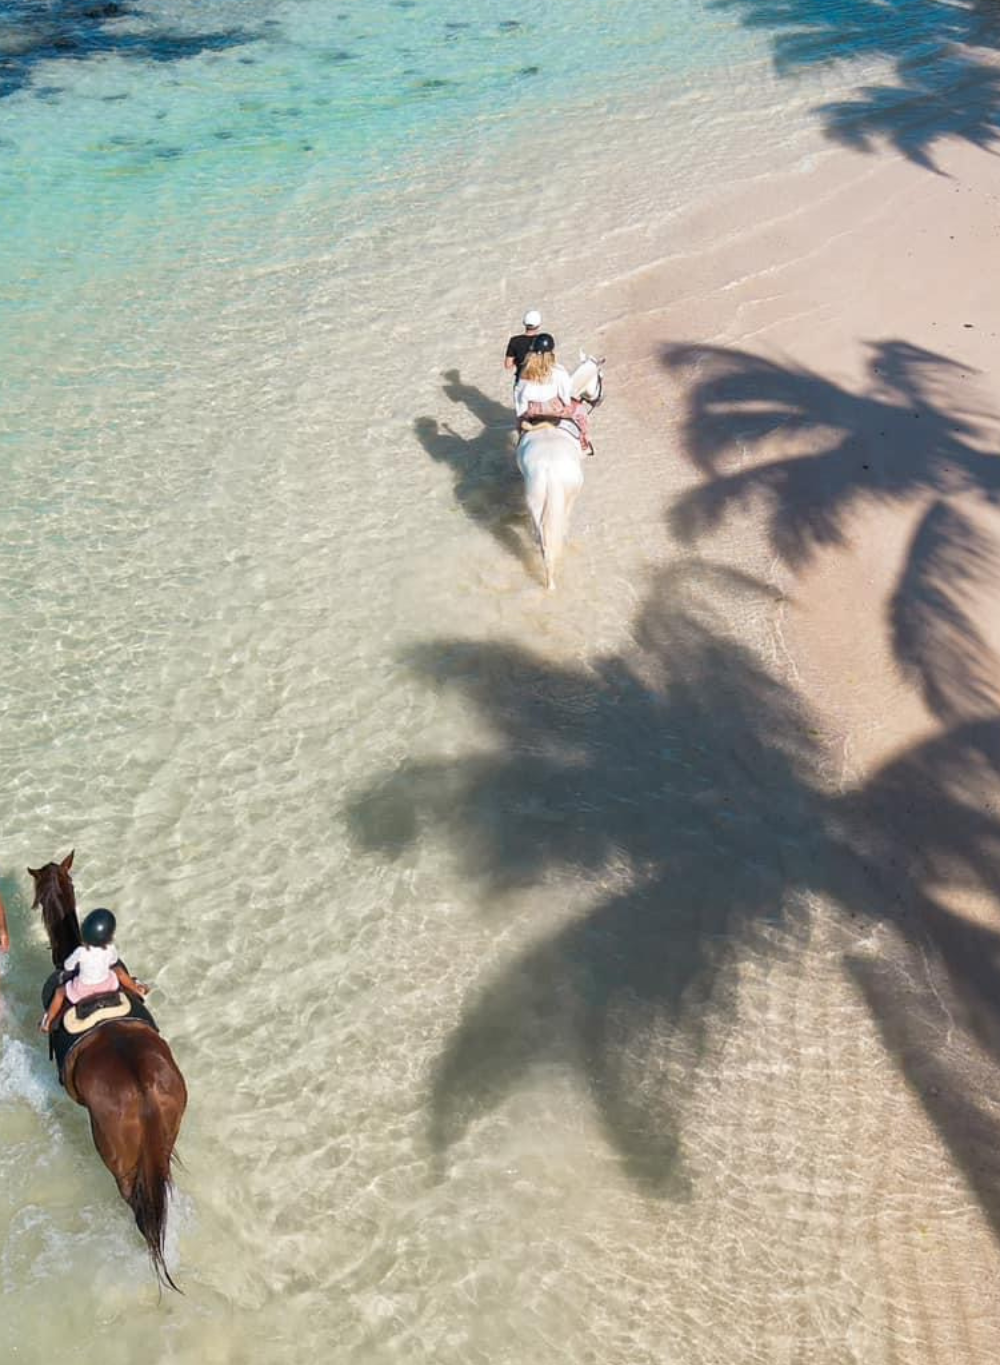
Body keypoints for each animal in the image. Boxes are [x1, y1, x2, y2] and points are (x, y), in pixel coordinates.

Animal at [516, 352, 605, 590]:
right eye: (600, 377)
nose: (599, 400)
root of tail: (549, 469)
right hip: (569, 495)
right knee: (561, 525)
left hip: (535, 501)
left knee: (543, 545)